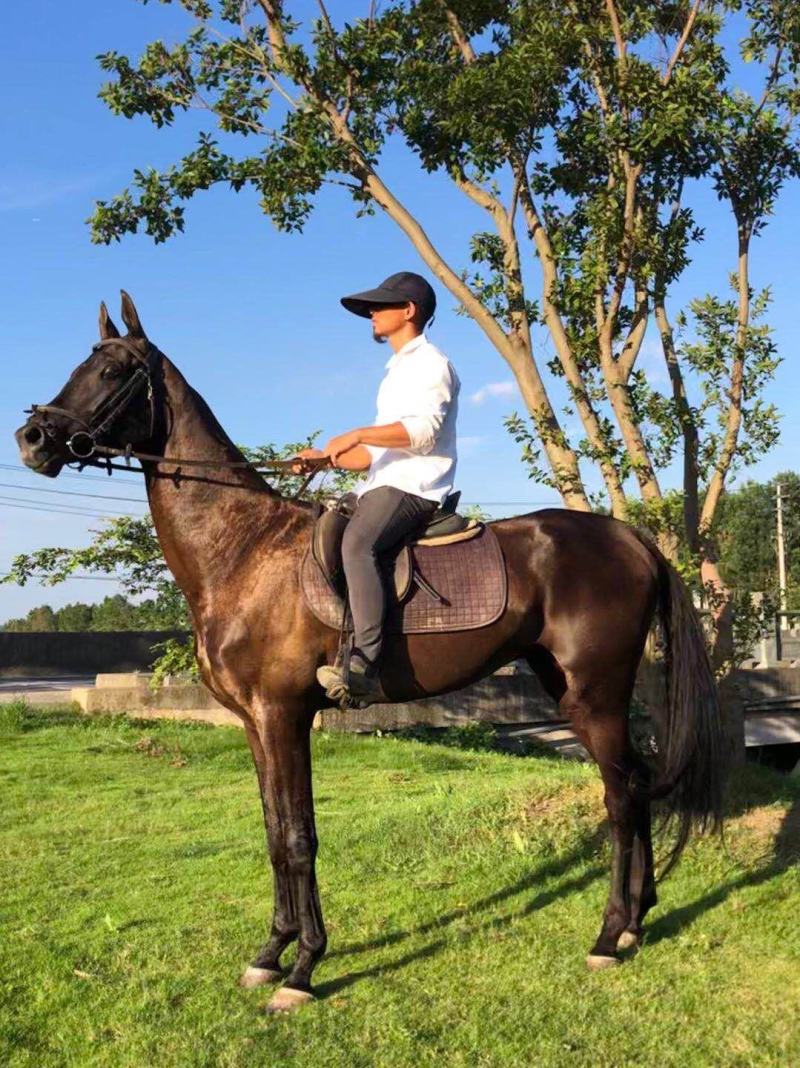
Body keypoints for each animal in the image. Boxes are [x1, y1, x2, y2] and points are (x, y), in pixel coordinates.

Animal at [15, 293, 724, 1013]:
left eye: (113, 371)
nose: (33, 439)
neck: (242, 551)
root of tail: (633, 540)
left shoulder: (284, 715)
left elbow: (299, 837)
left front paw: (303, 969)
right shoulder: (255, 724)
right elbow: (273, 833)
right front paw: (269, 954)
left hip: (594, 693)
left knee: (620, 797)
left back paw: (608, 936)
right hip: (575, 689)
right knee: (633, 783)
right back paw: (636, 922)